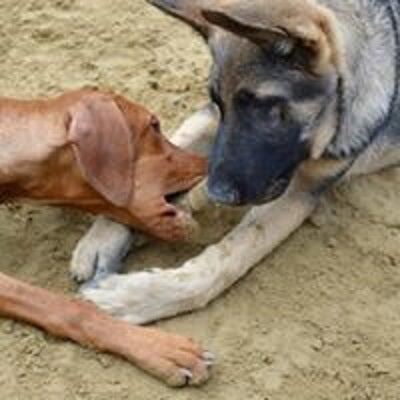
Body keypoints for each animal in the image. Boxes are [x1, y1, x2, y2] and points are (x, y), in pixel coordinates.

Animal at [75, 0, 400, 325]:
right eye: (221, 103)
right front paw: (105, 234)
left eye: (264, 105)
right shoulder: (211, 119)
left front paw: (137, 297)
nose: (216, 193)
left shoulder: (299, 191)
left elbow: (228, 258)